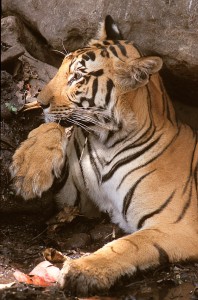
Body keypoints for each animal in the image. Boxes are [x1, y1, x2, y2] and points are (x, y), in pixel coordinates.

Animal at [10, 15, 198, 294]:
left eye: (77, 77)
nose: (39, 101)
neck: (107, 143)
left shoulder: (176, 225)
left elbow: (128, 245)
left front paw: (83, 270)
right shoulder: (78, 197)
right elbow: (56, 126)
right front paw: (27, 170)